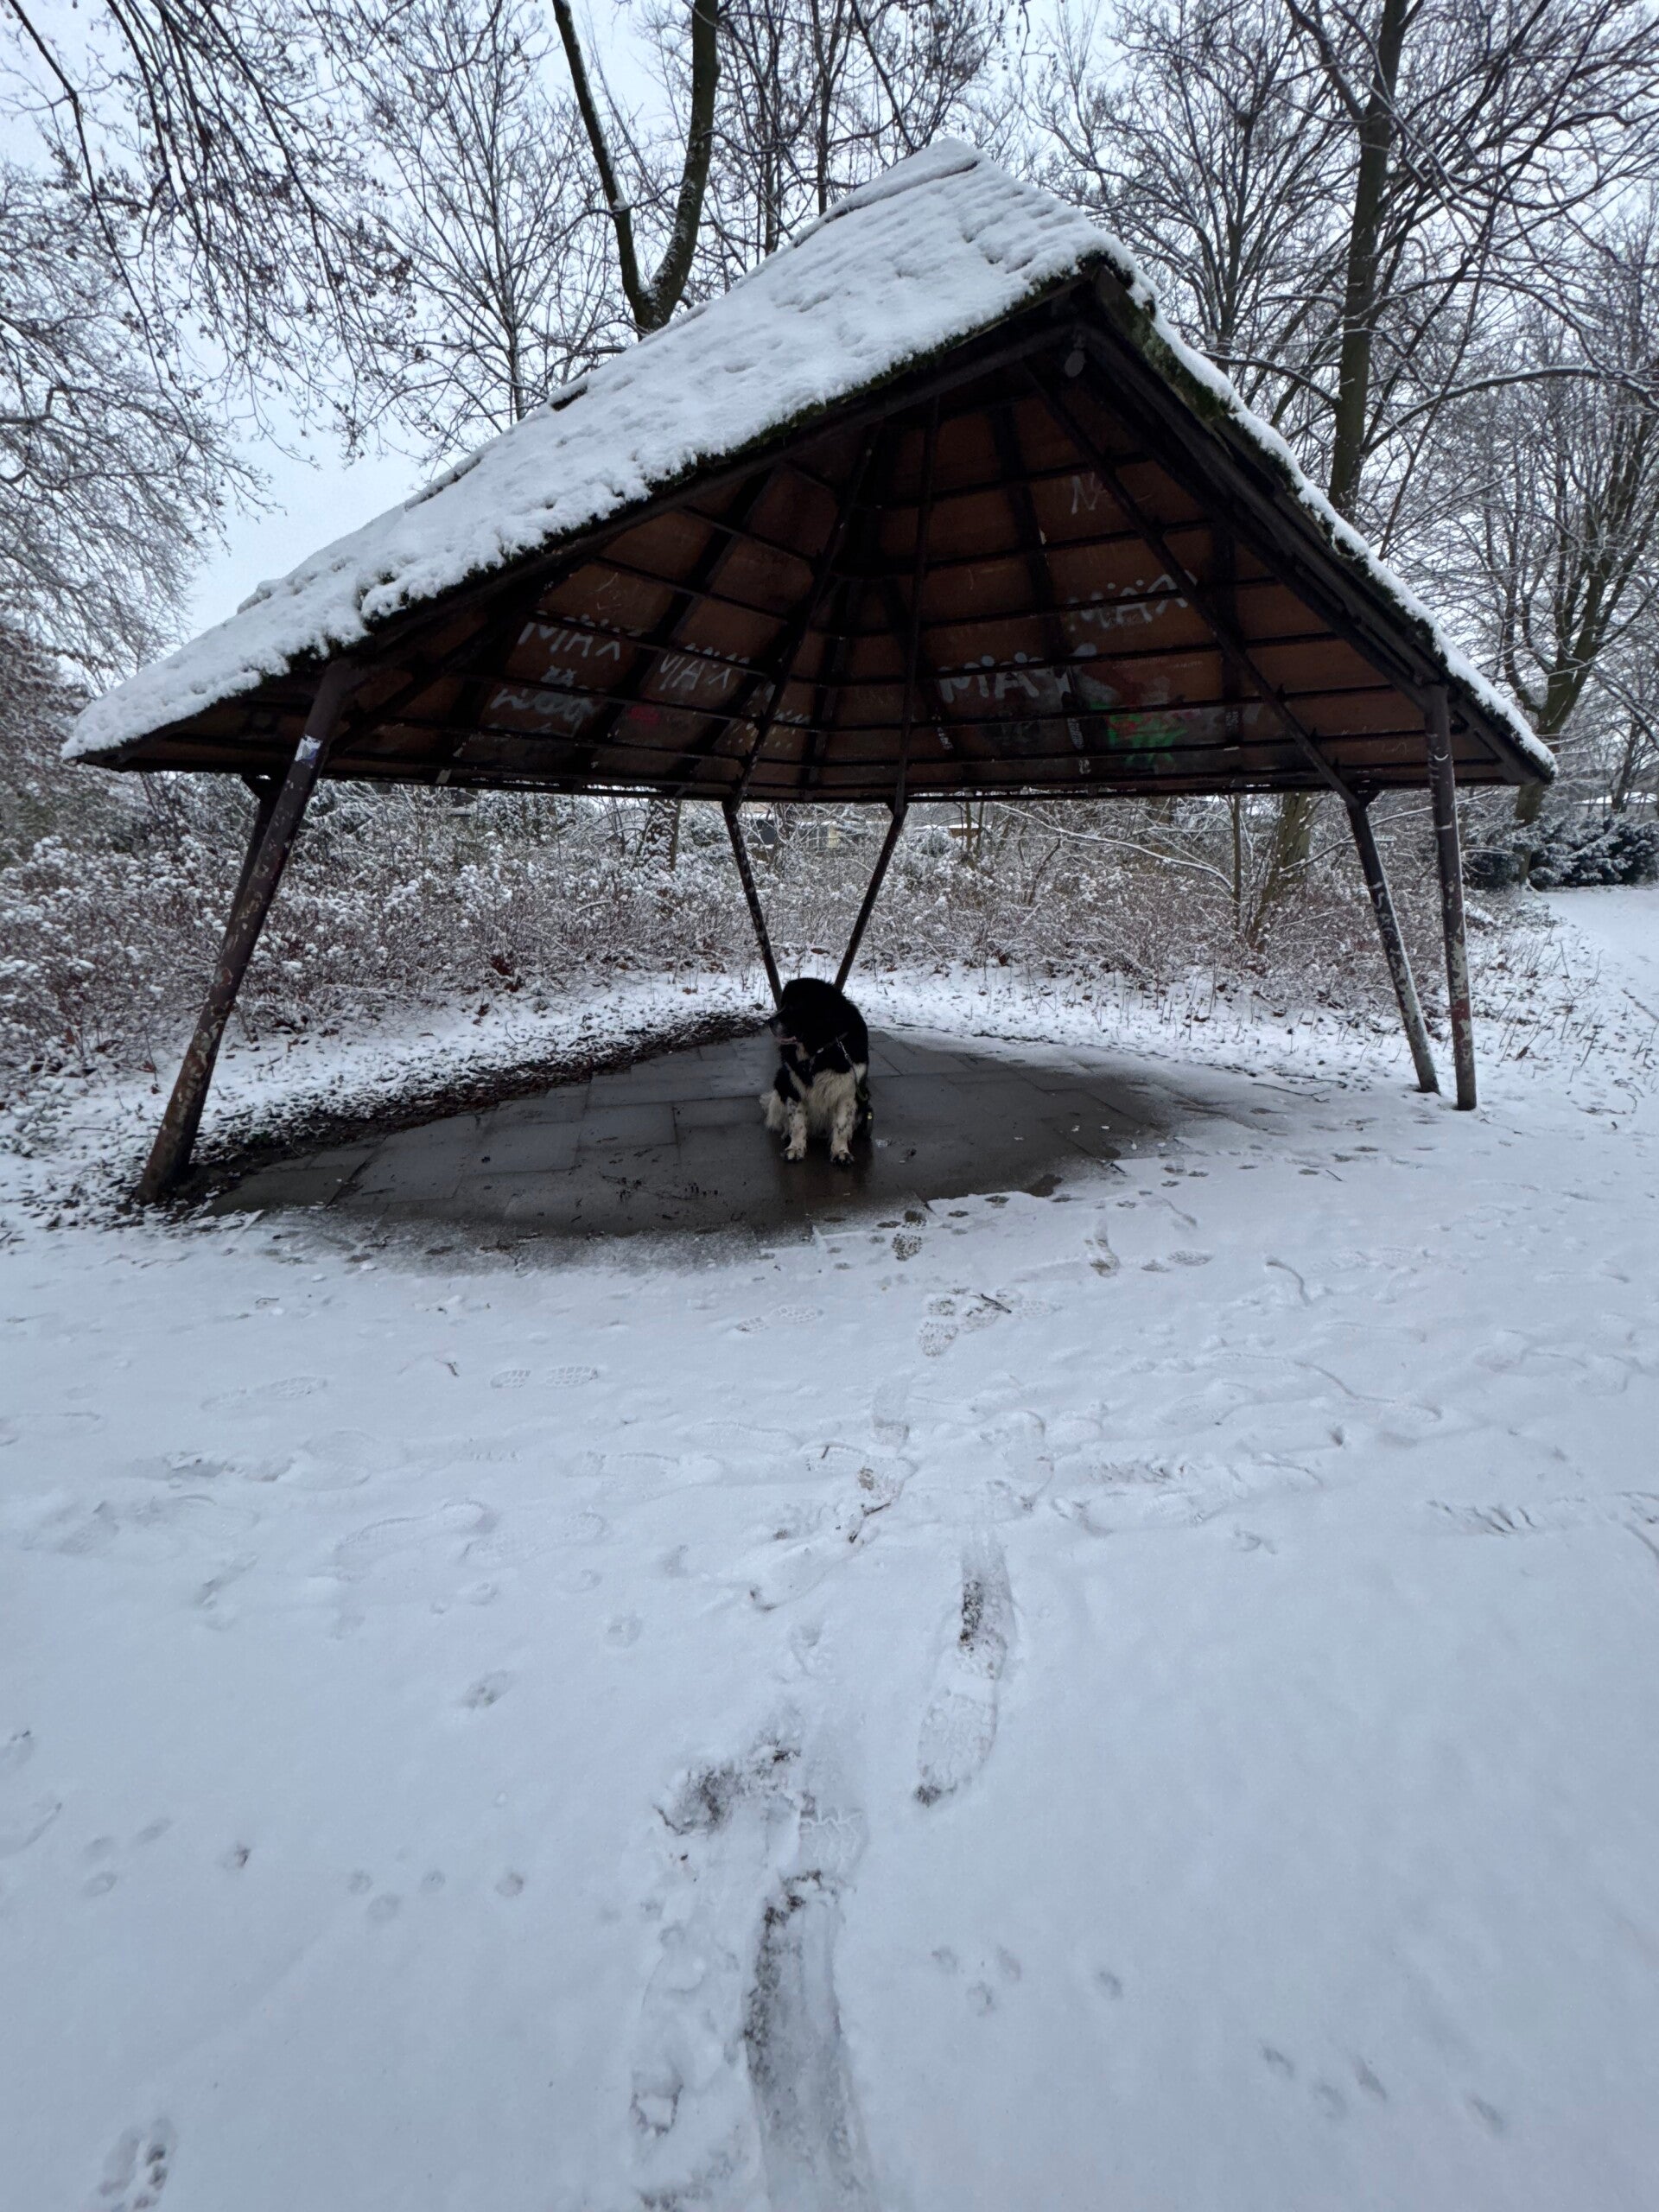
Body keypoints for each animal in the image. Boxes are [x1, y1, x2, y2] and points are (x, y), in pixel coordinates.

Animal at [760, 977, 871, 1166]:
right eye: (783, 1004)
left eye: (794, 1006)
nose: (769, 1021)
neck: (821, 1050)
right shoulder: (794, 1086)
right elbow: (797, 1121)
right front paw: (795, 1148)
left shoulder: (848, 1091)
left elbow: (842, 1125)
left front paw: (841, 1152)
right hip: (780, 1080)